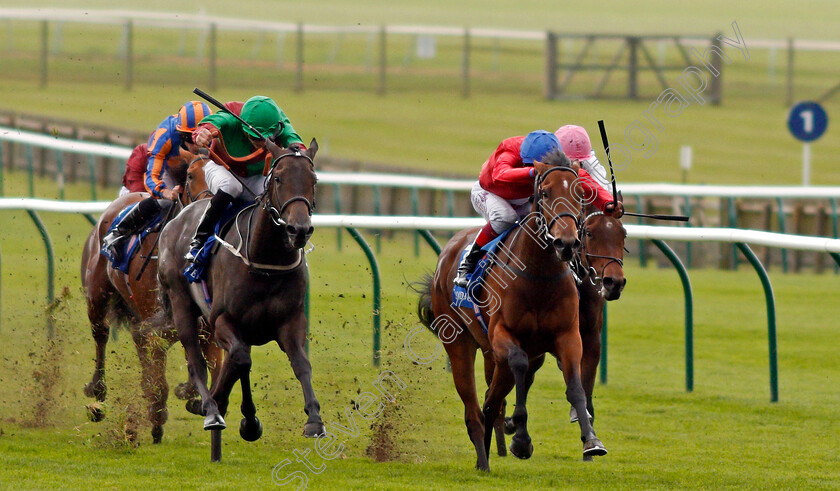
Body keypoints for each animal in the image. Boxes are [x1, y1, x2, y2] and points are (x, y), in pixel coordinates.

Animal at [79, 152, 221, 444]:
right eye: (191, 175)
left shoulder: (207, 331)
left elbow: (214, 369)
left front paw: (191, 396)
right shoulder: (156, 331)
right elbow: (160, 379)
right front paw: (156, 418)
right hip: (97, 295)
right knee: (101, 334)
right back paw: (98, 395)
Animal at [158, 138, 324, 442]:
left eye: (313, 180)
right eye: (278, 178)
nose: (299, 230)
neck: (266, 262)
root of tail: (179, 218)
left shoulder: (290, 320)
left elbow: (300, 364)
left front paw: (314, 419)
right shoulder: (222, 318)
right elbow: (239, 359)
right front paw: (239, 416)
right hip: (181, 303)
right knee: (197, 360)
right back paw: (211, 409)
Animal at [416, 150, 604, 472]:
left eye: (579, 193)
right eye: (545, 192)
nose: (566, 243)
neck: (539, 275)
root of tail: (447, 253)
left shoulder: (568, 336)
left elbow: (576, 387)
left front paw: (591, 440)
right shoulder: (504, 334)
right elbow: (519, 364)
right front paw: (521, 440)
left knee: (490, 403)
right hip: (460, 342)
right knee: (474, 406)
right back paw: (483, 460)